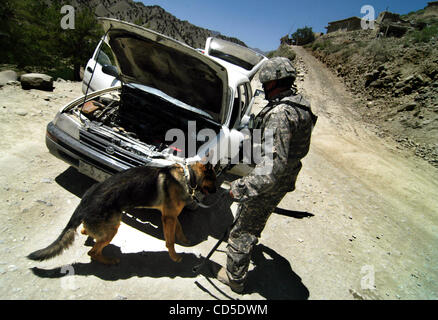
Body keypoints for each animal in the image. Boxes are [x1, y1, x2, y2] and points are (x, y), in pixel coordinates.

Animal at [27, 162, 216, 264]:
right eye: (213, 180)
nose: (216, 194)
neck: (188, 176)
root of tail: (86, 200)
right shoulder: (168, 217)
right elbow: (170, 241)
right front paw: (175, 256)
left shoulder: (171, 215)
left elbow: (179, 227)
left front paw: (184, 240)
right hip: (113, 228)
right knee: (93, 252)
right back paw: (109, 261)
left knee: (85, 231)